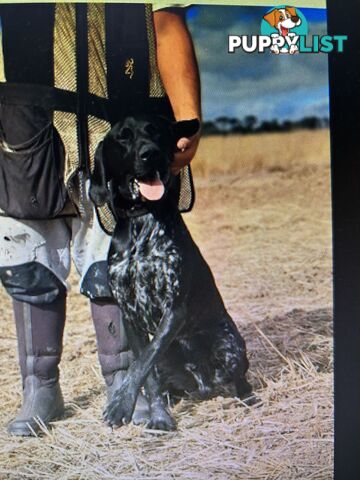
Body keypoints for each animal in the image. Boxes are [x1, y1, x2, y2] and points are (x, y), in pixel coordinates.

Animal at [89, 114, 252, 430]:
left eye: (156, 131)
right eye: (123, 137)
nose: (150, 154)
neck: (142, 220)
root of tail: (203, 384)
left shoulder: (174, 309)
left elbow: (145, 360)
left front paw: (121, 405)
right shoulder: (129, 316)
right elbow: (145, 370)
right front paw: (157, 415)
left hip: (229, 345)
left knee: (236, 379)